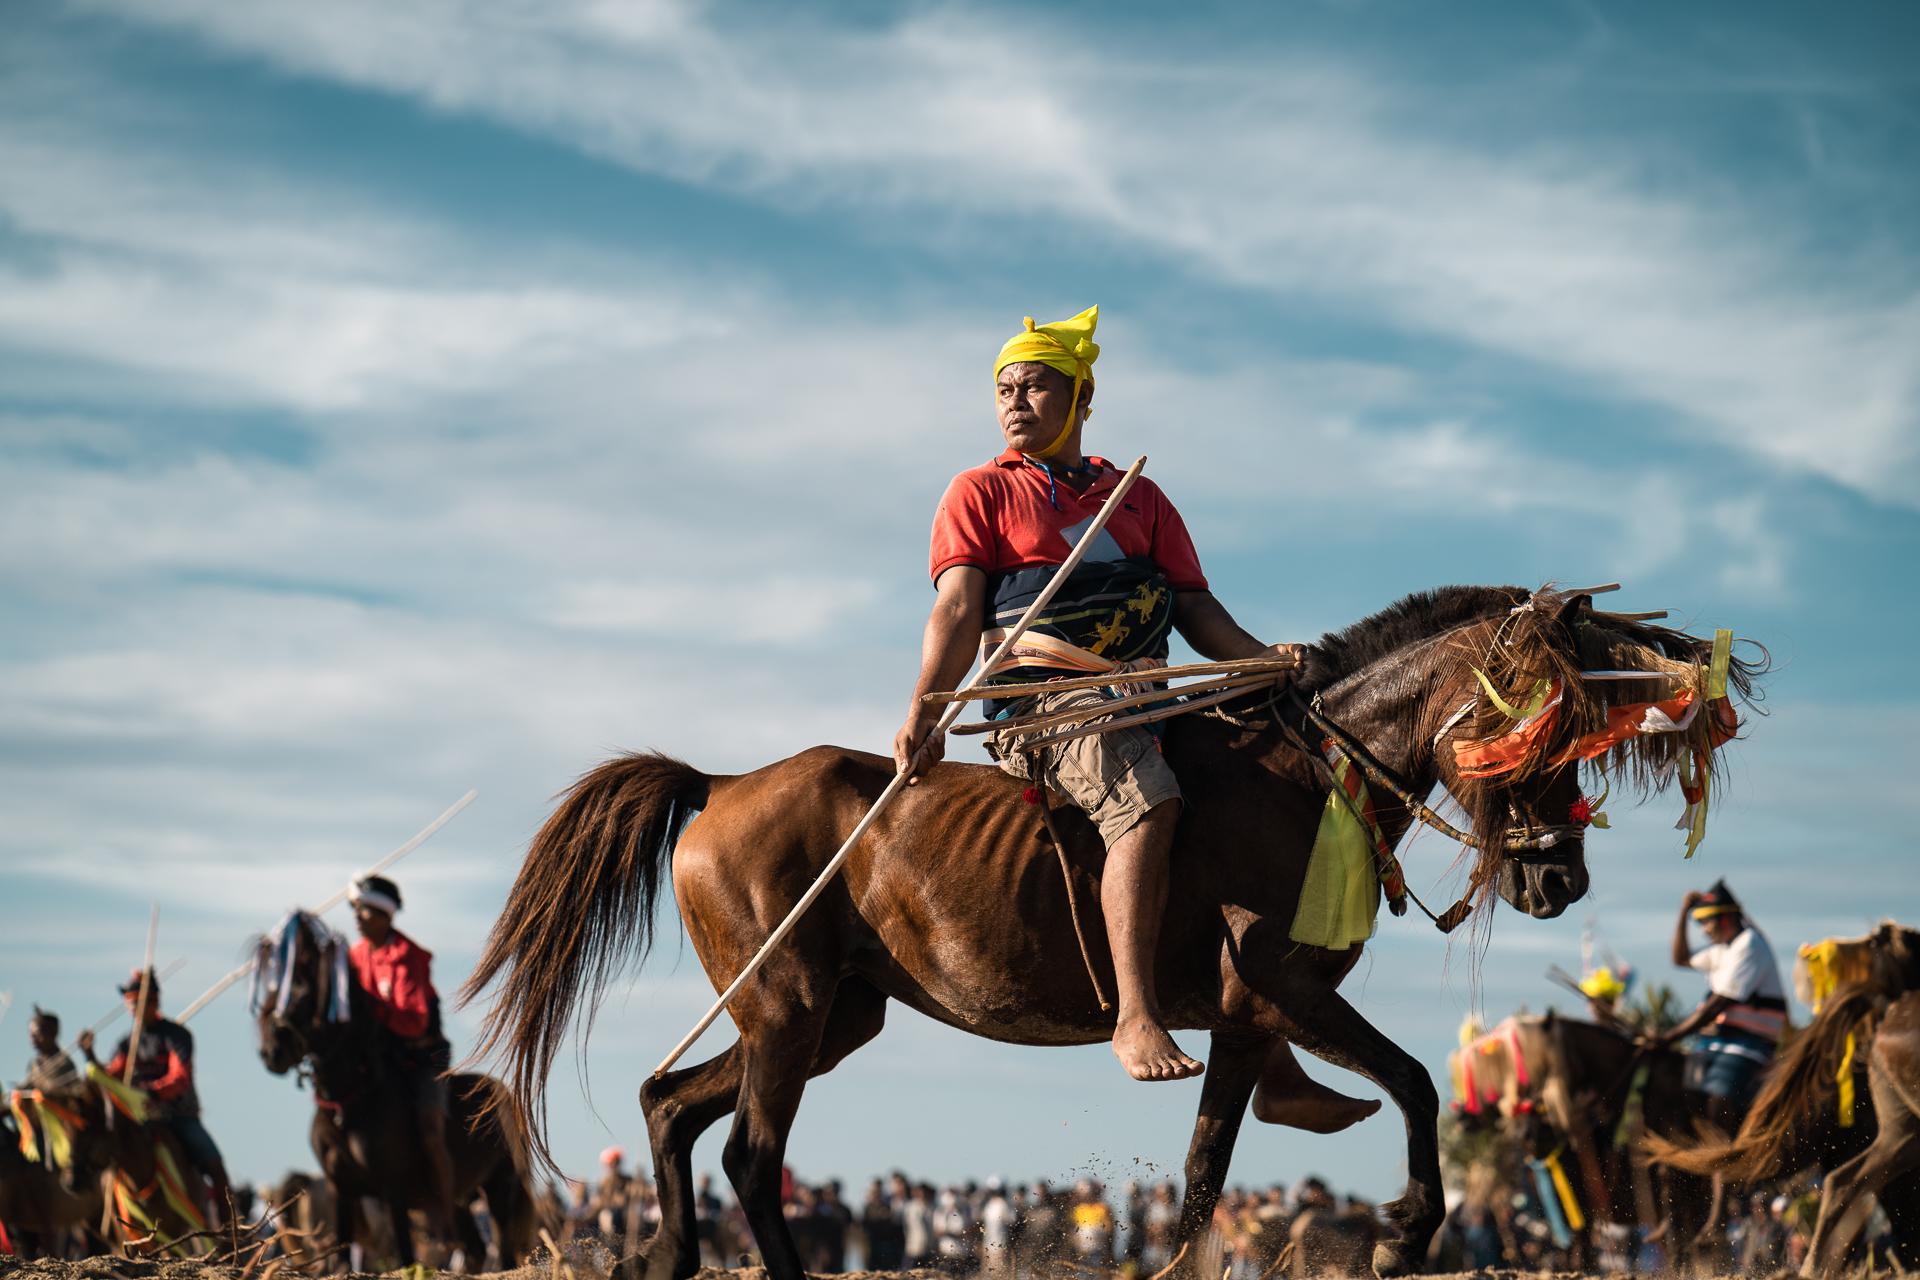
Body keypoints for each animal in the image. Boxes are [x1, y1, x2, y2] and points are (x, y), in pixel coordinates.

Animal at [460, 583, 1758, 1280]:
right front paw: (1403, 1232)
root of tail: (721, 785)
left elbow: (1204, 1169)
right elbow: (1419, 1084)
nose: (1559, 881)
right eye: (1542, 725)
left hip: (833, 1012)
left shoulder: (1246, 1019)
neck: (1306, 782)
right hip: (786, 1008)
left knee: (673, 1105)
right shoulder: (1283, 988)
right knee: (747, 1153)